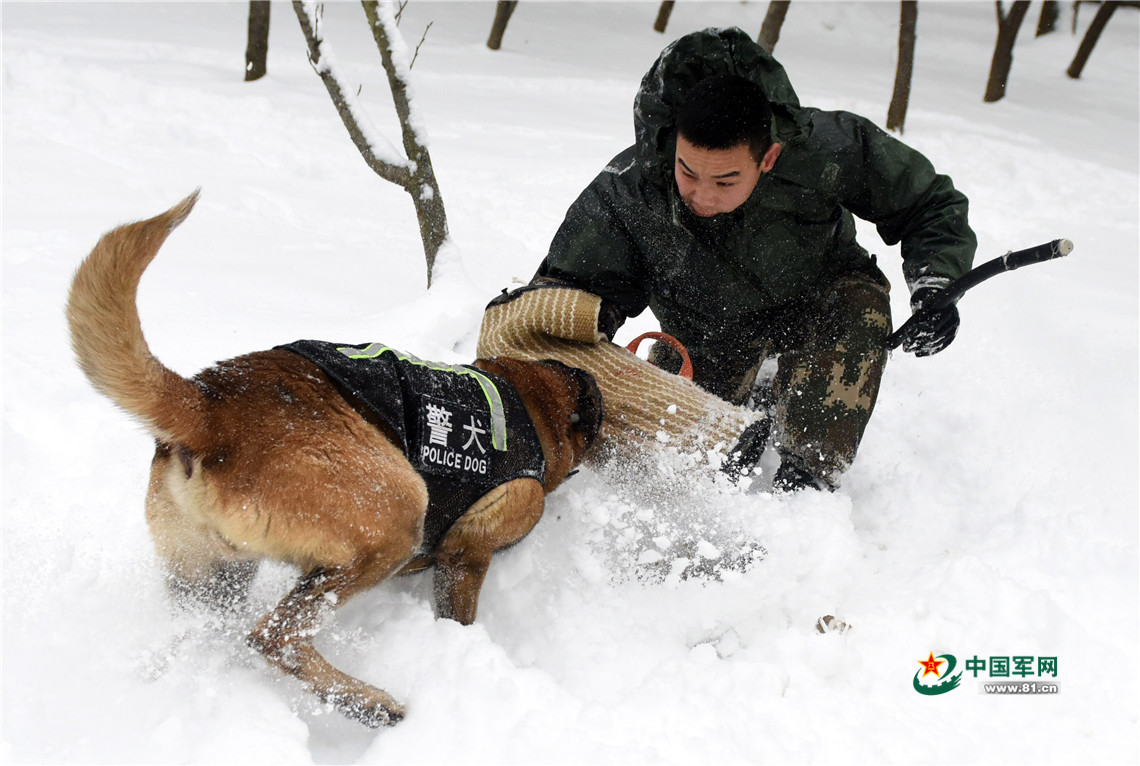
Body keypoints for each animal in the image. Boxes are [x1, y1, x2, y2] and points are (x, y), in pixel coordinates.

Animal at [65, 190, 601, 724]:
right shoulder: (470, 550)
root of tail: (209, 404)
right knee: (274, 637)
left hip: (213, 575)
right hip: (396, 514)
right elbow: (459, 606)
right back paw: (372, 705)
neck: (534, 402)